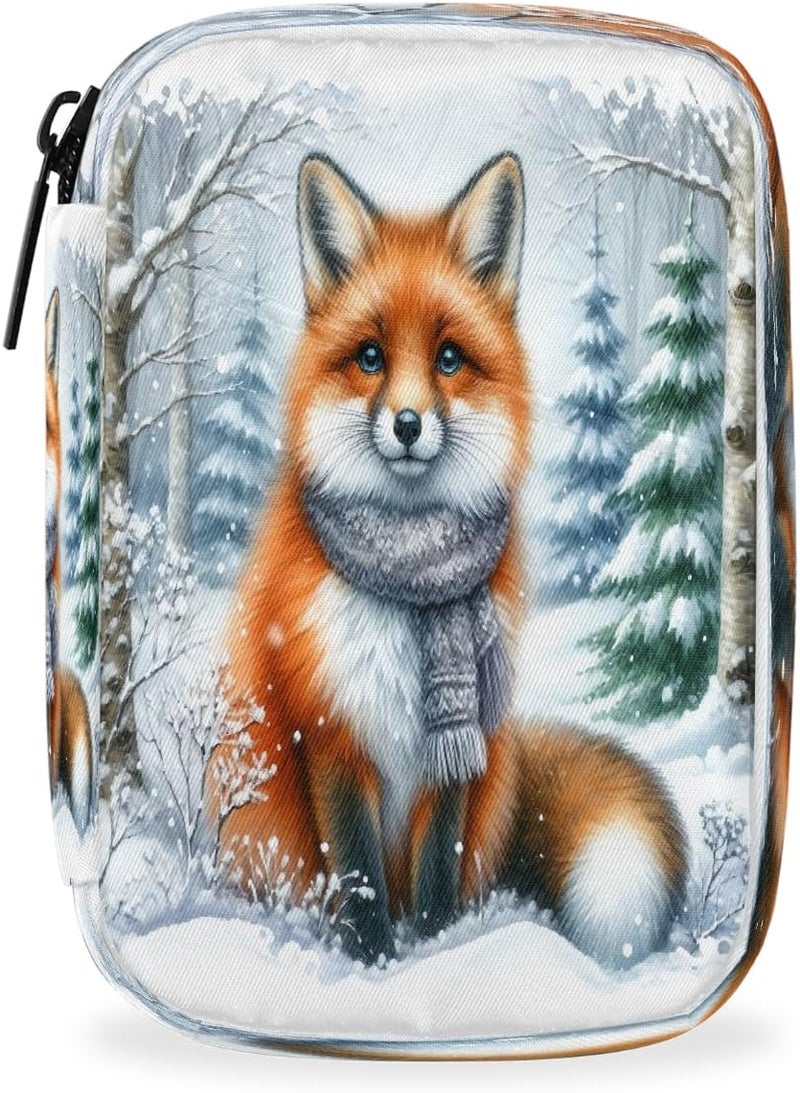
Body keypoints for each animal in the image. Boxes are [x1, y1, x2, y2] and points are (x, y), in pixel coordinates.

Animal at [205, 153, 687, 968]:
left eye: (450, 359)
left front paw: (437, 954)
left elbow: (436, 871)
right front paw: (374, 967)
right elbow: (360, 876)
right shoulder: (330, 728)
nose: (406, 423)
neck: (406, 577)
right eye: (370, 358)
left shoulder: (454, 760)